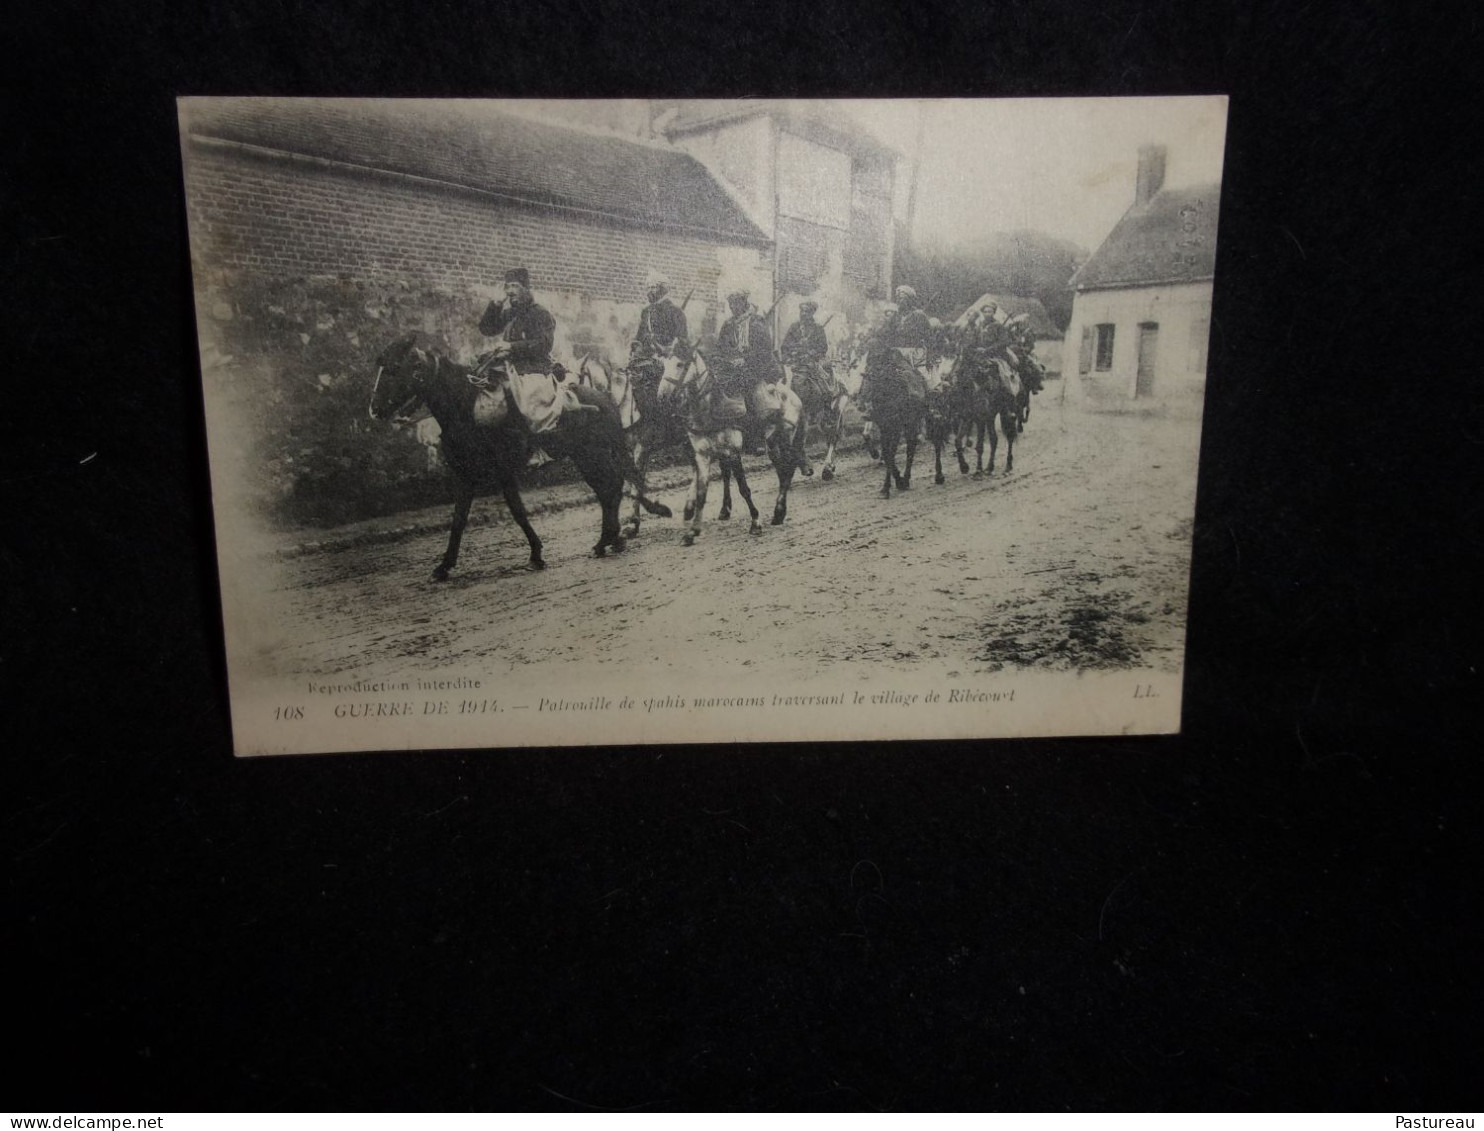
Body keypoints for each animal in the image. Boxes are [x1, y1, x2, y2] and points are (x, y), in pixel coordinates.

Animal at [368, 326, 670, 572]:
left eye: (393, 368)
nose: (374, 410)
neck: (467, 409)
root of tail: (605, 399)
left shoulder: (504, 472)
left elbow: (517, 511)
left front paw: (536, 553)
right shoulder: (464, 477)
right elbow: (458, 519)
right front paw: (444, 565)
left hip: (592, 455)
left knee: (611, 488)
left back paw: (609, 539)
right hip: (585, 458)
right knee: (608, 489)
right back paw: (610, 540)